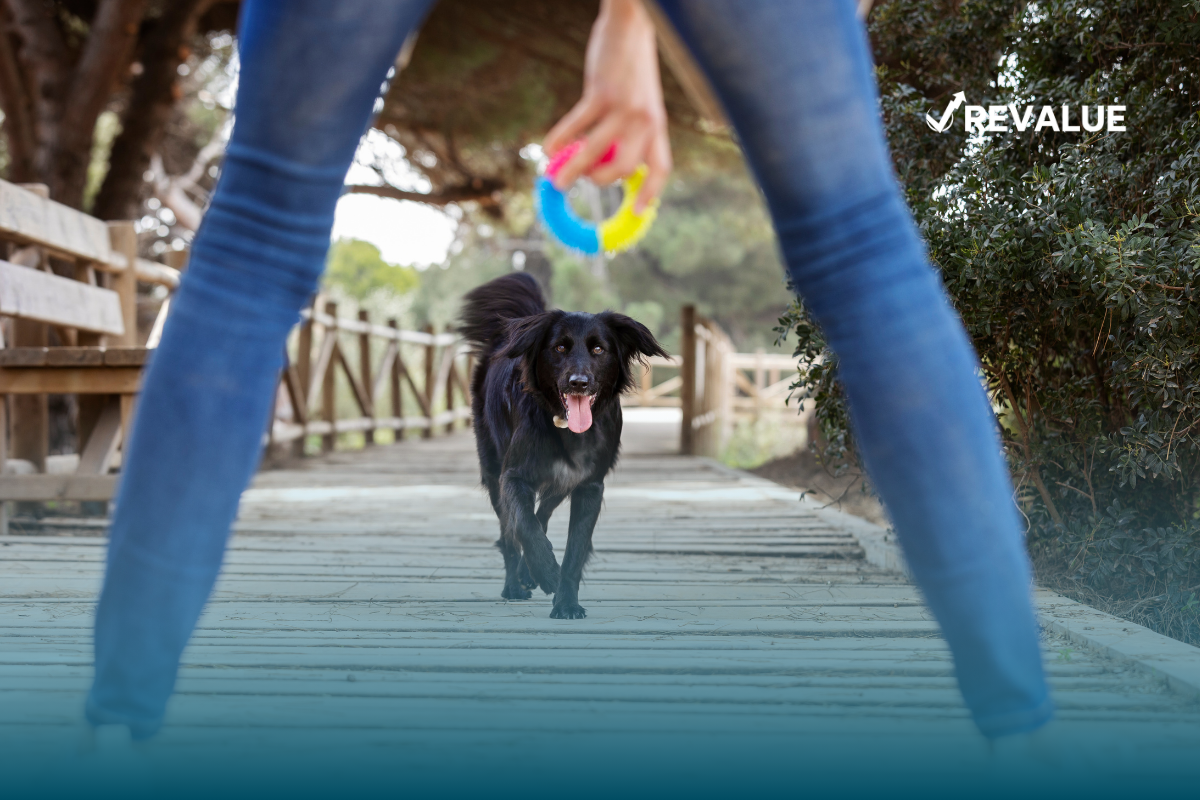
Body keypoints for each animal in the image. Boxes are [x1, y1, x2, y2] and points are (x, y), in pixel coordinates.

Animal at [458, 272, 667, 618]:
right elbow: (525, 527)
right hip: (493, 470)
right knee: (510, 531)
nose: (578, 382)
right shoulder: (513, 476)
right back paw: (514, 585)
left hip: (561, 480)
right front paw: (546, 574)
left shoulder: (589, 484)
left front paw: (566, 600)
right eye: (559, 347)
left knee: (541, 513)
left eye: (598, 349)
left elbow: (573, 547)